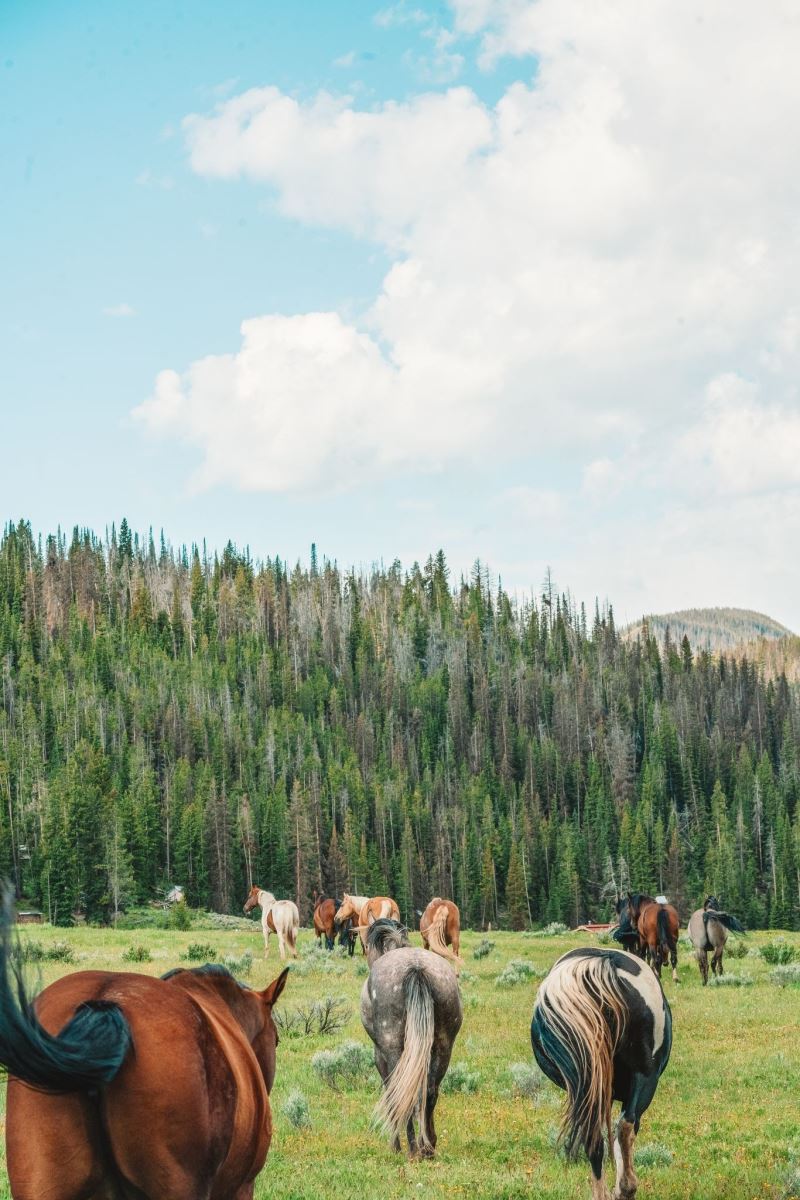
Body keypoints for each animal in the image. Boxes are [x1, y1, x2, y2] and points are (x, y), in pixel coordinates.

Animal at [357, 916, 462, 1161]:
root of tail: (416, 968)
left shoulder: (380, 1057)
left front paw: (394, 1145)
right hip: (443, 1046)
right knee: (430, 1091)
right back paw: (428, 1147)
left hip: (393, 1047)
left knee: (402, 1094)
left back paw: (413, 1149)